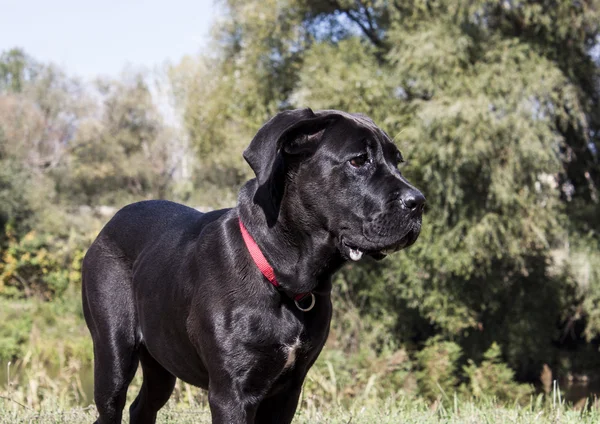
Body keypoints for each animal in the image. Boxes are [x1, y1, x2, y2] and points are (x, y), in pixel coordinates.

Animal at [81, 107, 426, 422]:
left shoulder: (288, 391)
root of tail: (109, 222)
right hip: (114, 354)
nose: (419, 202)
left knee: (143, 406)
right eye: (357, 160)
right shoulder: (232, 394)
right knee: (111, 406)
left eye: (397, 161)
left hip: (162, 358)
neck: (285, 275)